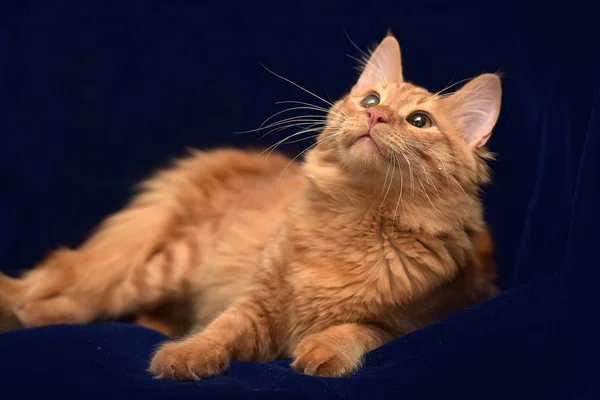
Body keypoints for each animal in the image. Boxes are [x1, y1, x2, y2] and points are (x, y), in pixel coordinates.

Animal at [0, 33, 502, 378]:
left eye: (419, 121)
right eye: (372, 99)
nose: (375, 115)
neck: (355, 216)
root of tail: (233, 161)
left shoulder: (409, 322)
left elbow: (357, 330)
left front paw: (322, 351)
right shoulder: (257, 303)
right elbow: (221, 329)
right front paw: (186, 356)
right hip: (172, 264)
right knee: (88, 293)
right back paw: (31, 313)